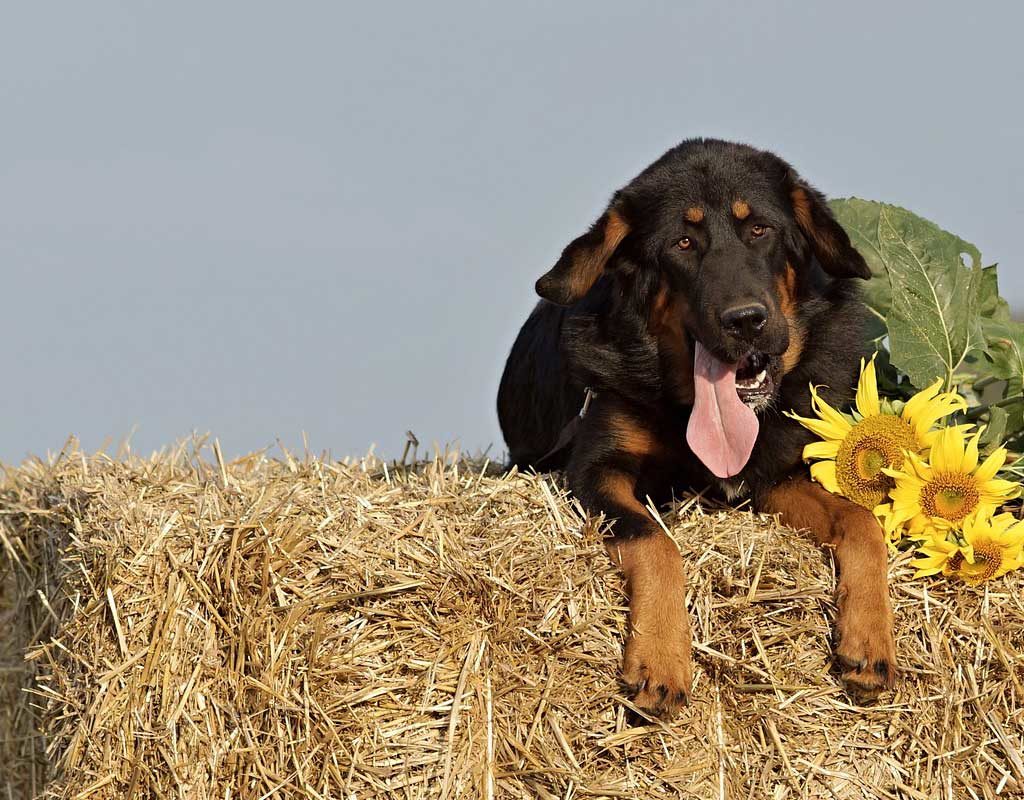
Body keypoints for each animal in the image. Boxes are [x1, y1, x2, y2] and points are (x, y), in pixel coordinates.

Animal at [497, 134, 897, 712]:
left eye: (760, 230)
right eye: (682, 243)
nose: (746, 320)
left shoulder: (773, 477)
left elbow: (862, 522)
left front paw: (869, 638)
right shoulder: (596, 471)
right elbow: (656, 541)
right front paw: (661, 658)